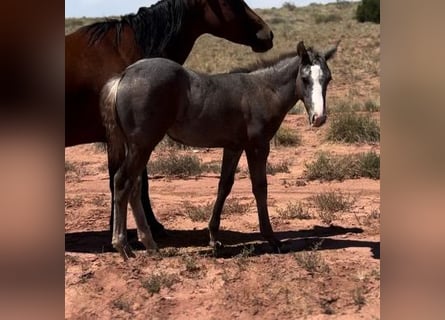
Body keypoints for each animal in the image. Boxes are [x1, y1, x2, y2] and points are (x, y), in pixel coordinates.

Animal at [99, 40, 336, 260]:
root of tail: (125, 75)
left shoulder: (233, 147)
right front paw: (272, 239)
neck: (264, 90)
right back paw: (123, 246)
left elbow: (224, 186)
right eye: (304, 78)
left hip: (139, 147)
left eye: (328, 78)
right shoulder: (257, 146)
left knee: (134, 186)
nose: (319, 118)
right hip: (142, 145)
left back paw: (150, 244)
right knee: (122, 181)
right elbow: (260, 187)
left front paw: (214, 238)